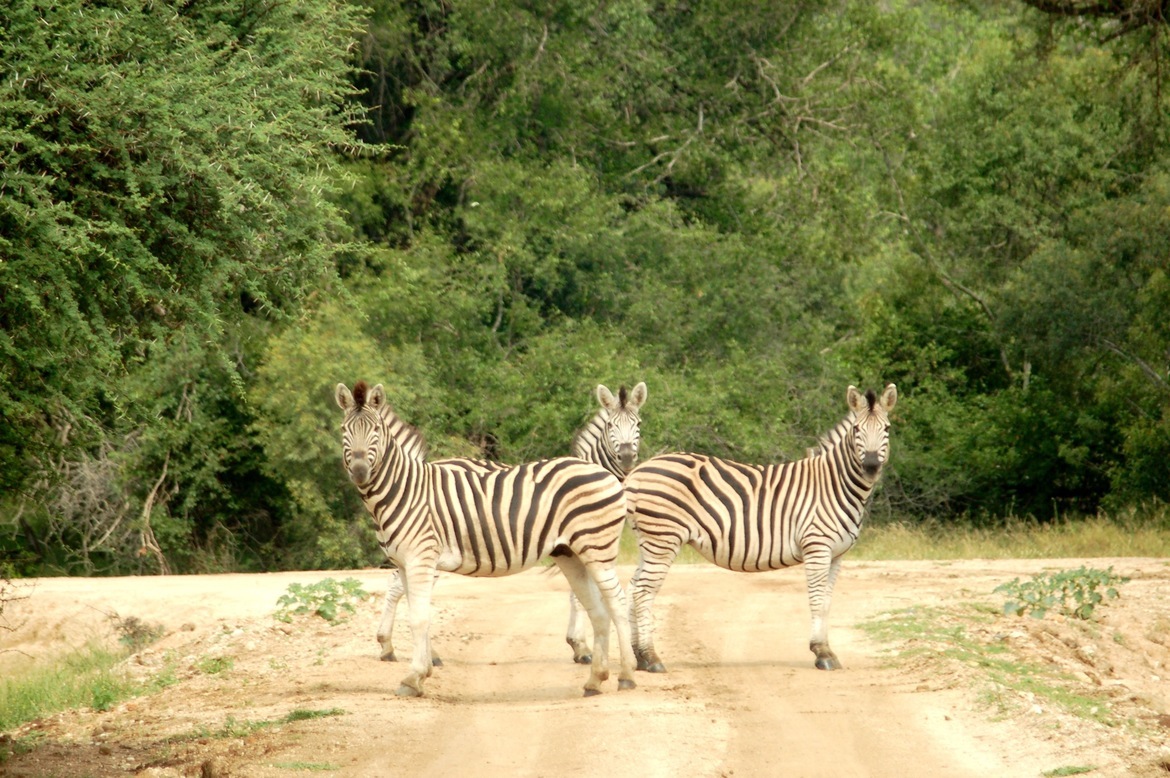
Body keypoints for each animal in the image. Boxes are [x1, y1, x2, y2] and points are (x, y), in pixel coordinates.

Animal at [336, 380, 637, 697]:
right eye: (344, 429)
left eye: (376, 429)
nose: (360, 472)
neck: (404, 489)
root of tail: (603, 473)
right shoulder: (406, 564)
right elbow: (416, 615)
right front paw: (420, 673)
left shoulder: (420, 559)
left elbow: (419, 618)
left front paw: (414, 677)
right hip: (571, 554)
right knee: (598, 610)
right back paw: (596, 679)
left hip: (597, 549)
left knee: (616, 602)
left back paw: (627, 674)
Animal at [623, 384, 897, 673]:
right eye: (857, 429)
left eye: (887, 428)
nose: (871, 466)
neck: (834, 484)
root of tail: (637, 472)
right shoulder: (817, 547)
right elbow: (816, 599)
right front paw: (821, 653)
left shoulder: (836, 555)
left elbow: (826, 603)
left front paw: (827, 651)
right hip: (663, 539)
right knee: (643, 592)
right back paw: (652, 658)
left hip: (648, 542)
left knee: (632, 588)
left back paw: (640, 658)